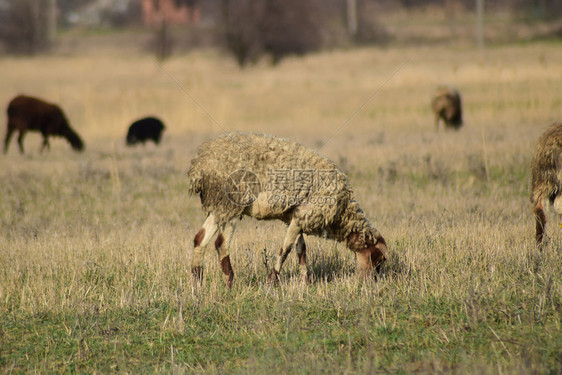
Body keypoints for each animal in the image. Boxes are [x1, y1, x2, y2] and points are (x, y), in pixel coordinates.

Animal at [187, 132, 384, 288]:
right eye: (377, 258)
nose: (371, 283)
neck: (341, 214)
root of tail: (199, 166)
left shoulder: (296, 216)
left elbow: (301, 249)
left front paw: (306, 283)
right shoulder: (304, 215)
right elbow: (286, 249)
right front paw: (271, 280)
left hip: (219, 207)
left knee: (200, 239)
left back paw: (197, 282)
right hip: (232, 203)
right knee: (221, 243)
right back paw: (229, 283)